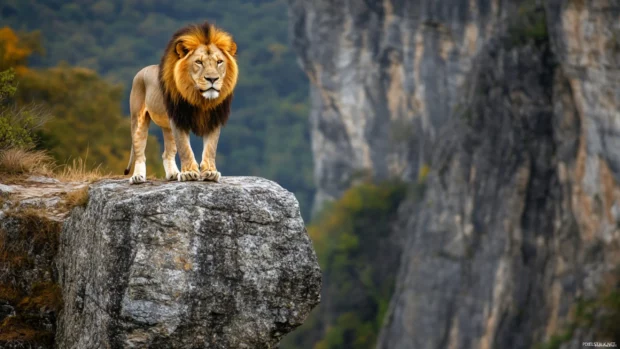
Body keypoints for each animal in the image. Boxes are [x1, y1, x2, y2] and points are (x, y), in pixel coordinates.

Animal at [123, 21, 237, 184]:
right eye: (199, 62)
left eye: (219, 62)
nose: (212, 79)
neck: (201, 99)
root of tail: (141, 71)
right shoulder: (179, 119)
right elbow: (185, 148)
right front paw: (189, 173)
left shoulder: (214, 119)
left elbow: (210, 148)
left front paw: (210, 172)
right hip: (138, 119)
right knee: (139, 151)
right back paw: (138, 177)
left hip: (167, 126)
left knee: (167, 153)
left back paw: (173, 174)